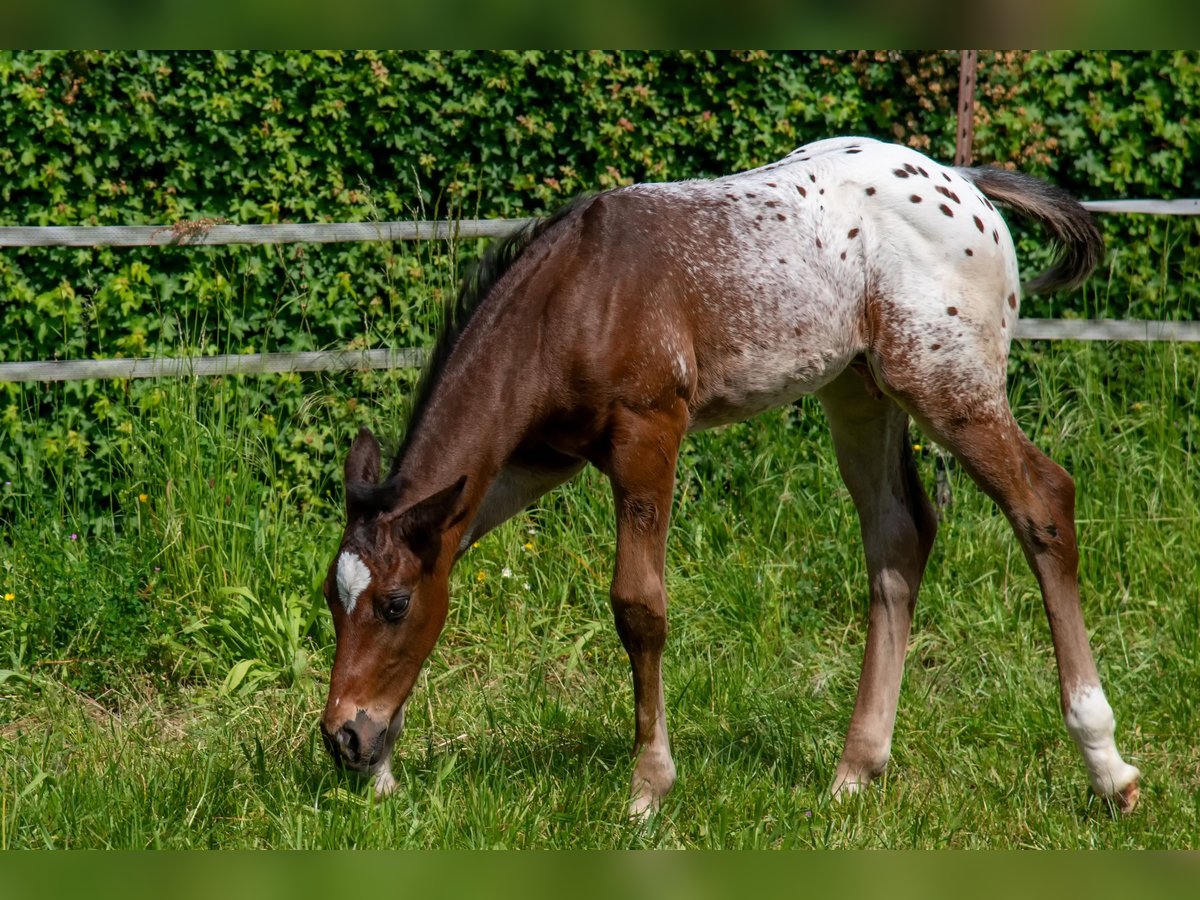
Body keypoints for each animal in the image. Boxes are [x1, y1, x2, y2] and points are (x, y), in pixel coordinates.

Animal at [314, 137, 1137, 820]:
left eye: (393, 604)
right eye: (332, 598)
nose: (340, 738)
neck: (574, 299)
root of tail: (964, 184)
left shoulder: (648, 431)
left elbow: (639, 607)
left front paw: (648, 787)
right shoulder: (535, 459)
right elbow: (451, 545)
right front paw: (383, 765)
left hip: (946, 385)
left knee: (1043, 501)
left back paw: (1108, 766)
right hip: (860, 391)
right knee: (899, 538)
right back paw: (854, 771)